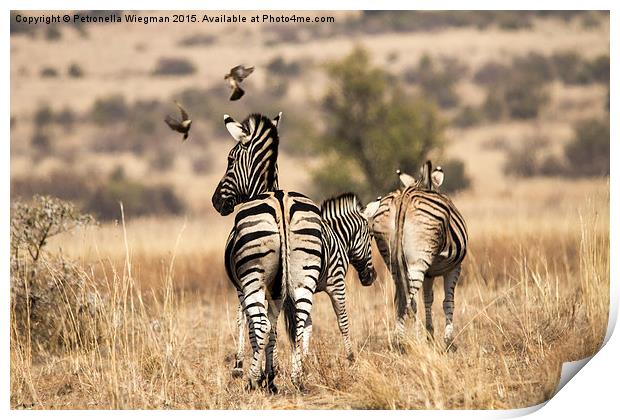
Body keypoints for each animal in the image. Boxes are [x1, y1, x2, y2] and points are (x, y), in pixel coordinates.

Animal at [212, 110, 324, 390]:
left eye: (230, 160)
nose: (215, 201)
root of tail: (281, 201)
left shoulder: (241, 289)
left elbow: (249, 325)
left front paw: (247, 369)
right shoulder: (277, 291)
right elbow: (274, 329)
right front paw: (270, 375)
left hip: (252, 278)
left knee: (260, 325)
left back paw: (251, 381)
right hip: (305, 274)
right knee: (299, 324)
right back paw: (297, 378)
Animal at [366, 161, 468, 352]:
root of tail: (404, 197)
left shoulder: (429, 273)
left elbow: (428, 299)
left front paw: (430, 335)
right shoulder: (454, 267)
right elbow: (448, 301)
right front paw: (448, 340)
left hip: (392, 261)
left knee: (401, 299)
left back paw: (403, 340)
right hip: (418, 261)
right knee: (409, 300)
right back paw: (406, 341)